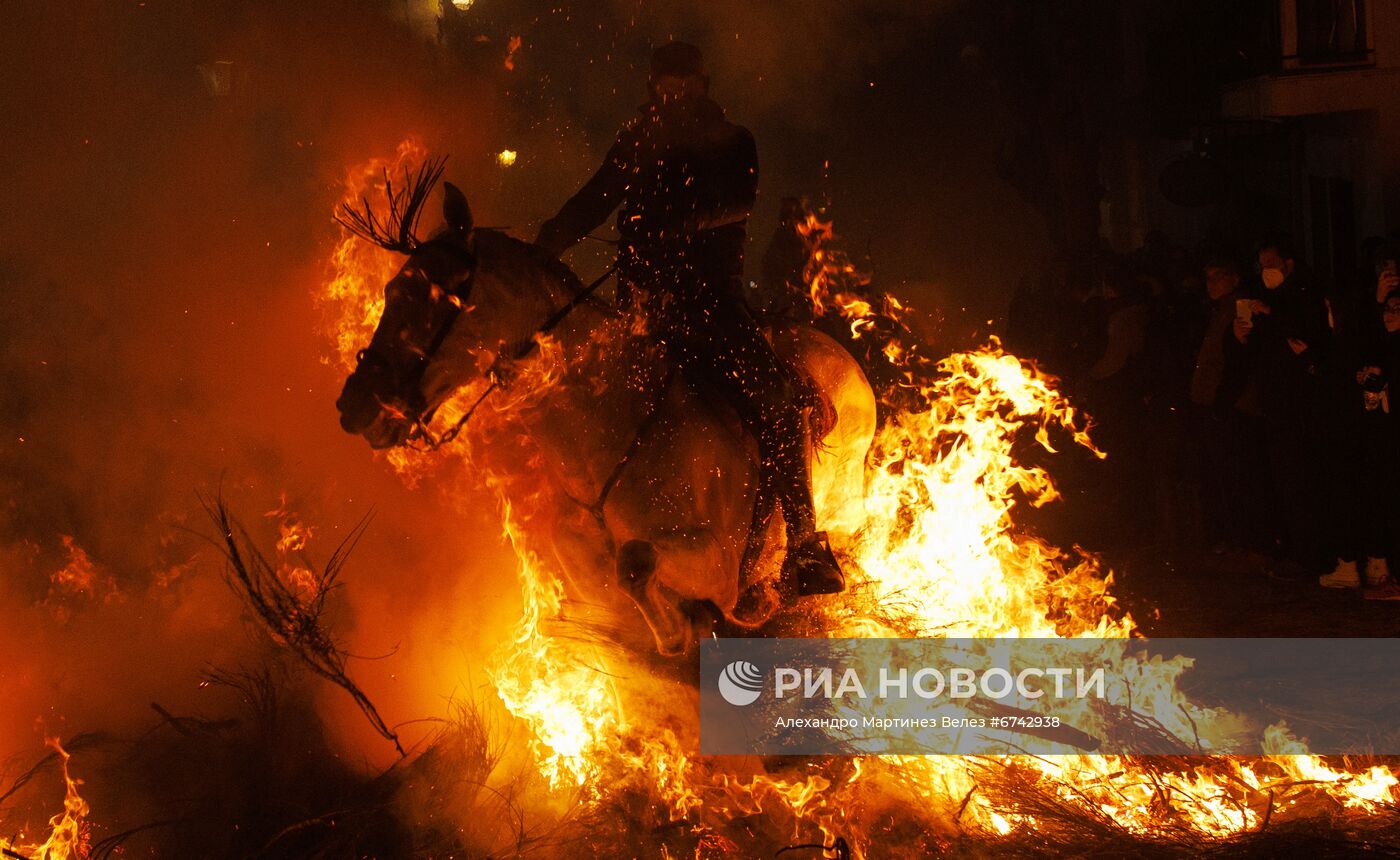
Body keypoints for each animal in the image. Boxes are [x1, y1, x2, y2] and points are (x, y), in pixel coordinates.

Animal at [334, 178, 873, 658]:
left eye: (440, 296)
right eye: (391, 289)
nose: (354, 406)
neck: (608, 425)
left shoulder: (717, 563)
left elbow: (636, 561)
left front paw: (686, 628)